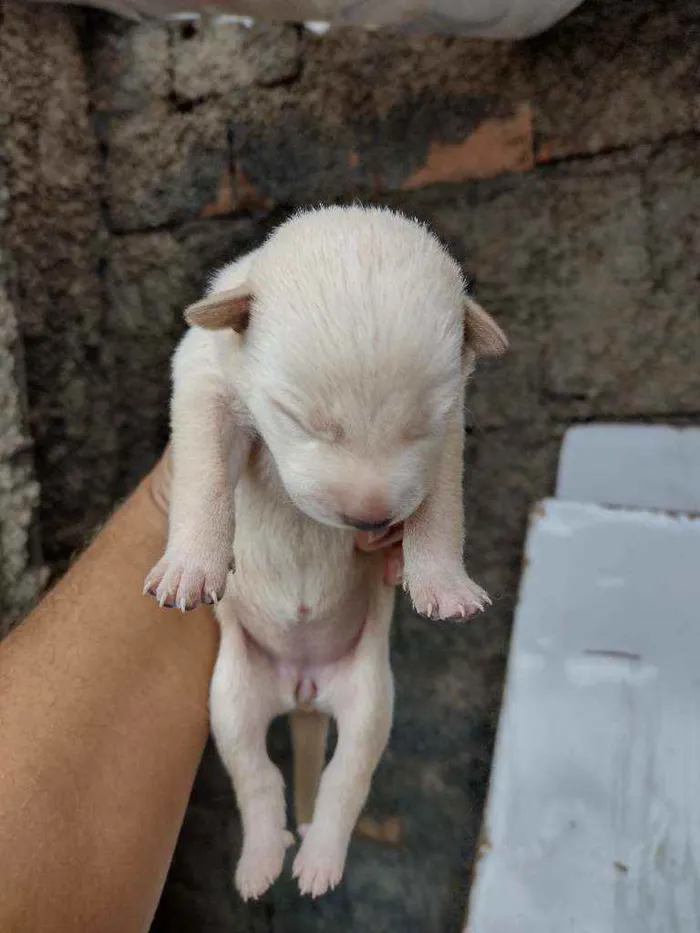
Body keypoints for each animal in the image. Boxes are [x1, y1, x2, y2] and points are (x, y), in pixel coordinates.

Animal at [144, 204, 504, 896]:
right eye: (299, 418)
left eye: (419, 427)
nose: (370, 518)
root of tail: (304, 693)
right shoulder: (203, 386)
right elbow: (203, 476)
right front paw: (191, 564)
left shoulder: (448, 436)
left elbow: (441, 507)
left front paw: (443, 583)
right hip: (231, 698)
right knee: (257, 775)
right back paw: (261, 861)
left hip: (370, 699)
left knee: (344, 779)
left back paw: (316, 860)